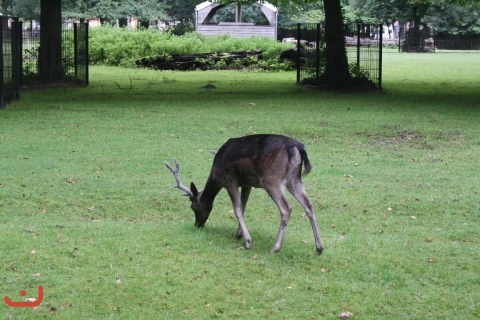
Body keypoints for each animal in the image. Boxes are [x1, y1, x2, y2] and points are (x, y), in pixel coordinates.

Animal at [164, 134, 322, 254]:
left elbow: (238, 209)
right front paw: (238, 234)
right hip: (294, 179)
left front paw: (248, 242)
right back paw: (319, 248)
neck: (215, 174)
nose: (197, 225)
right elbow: (244, 207)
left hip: (271, 179)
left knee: (286, 208)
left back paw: (275, 248)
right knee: (309, 204)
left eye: (193, 207)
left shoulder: (229, 181)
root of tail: (297, 148)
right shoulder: (247, 184)